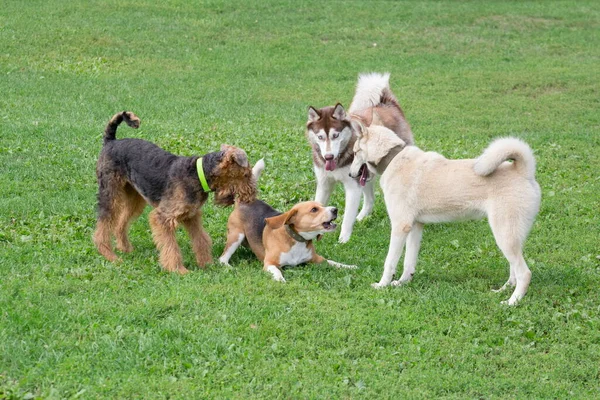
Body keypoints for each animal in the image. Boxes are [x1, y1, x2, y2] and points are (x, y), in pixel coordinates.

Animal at [93, 112, 255, 276]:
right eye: (246, 174)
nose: (251, 197)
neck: (199, 174)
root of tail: (111, 141)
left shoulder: (191, 215)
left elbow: (201, 239)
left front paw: (207, 264)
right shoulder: (163, 217)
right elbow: (171, 246)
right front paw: (178, 269)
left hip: (134, 198)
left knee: (120, 223)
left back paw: (125, 248)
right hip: (110, 194)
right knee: (102, 228)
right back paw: (110, 255)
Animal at [218, 159, 356, 282]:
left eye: (322, 205)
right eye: (314, 209)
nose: (335, 210)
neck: (297, 241)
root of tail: (244, 201)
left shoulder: (318, 259)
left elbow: (334, 262)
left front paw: (349, 266)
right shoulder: (270, 263)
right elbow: (277, 271)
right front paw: (280, 279)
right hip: (236, 236)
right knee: (223, 258)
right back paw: (229, 267)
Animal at [308, 73, 414, 242]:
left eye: (335, 135)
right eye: (320, 137)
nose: (329, 156)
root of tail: (386, 103)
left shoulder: (352, 187)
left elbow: (347, 218)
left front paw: (343, 240)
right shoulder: (325, 183)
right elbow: (316, 205)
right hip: (364, 174)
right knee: (370, 199)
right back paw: (362, 217)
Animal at [350, 123, 540, 304]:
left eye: (355, 152)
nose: (351, 175)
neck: (393, 158)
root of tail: (523, 171)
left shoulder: (399, 227)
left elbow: (389, 262)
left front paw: (382, 285)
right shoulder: (415, 227)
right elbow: (408, 262)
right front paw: (403, 282)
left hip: (504, 235)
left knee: (524, 273)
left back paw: (512, 301)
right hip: (510, 237)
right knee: (514, 271)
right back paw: (503, 290)